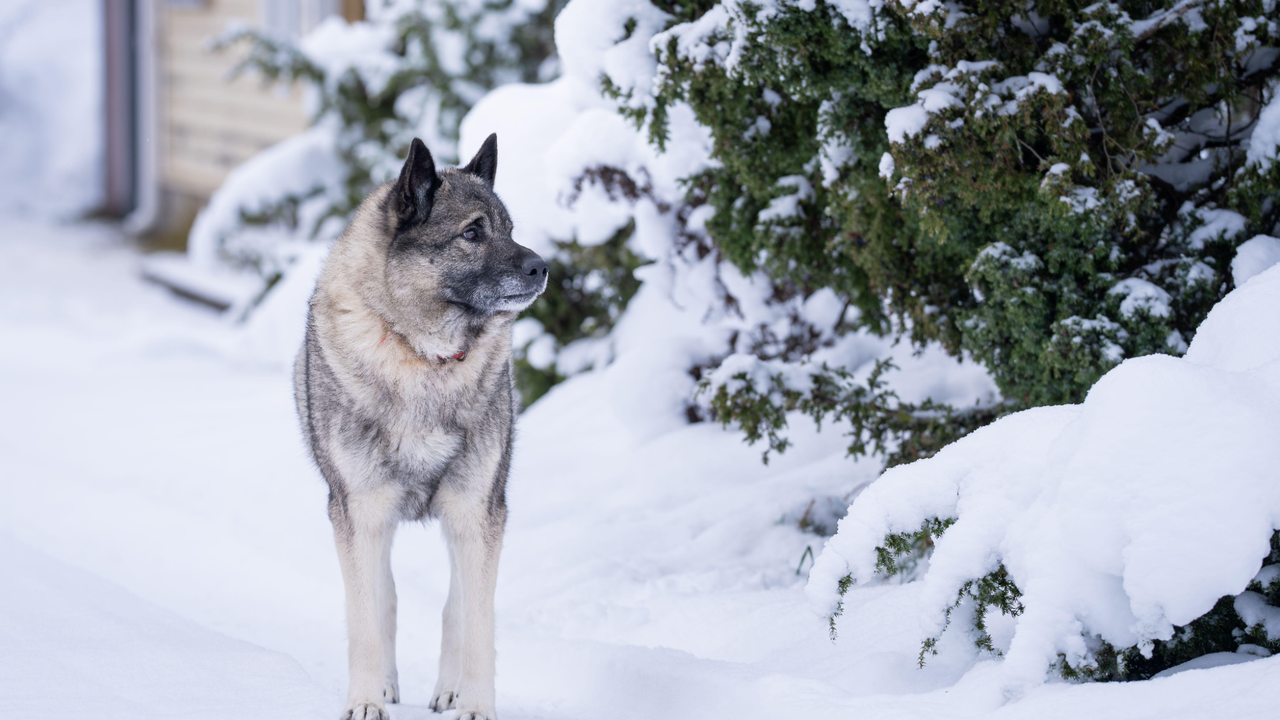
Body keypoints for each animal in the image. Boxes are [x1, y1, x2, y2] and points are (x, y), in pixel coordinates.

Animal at [293, 134, 547, 717]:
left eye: (510, 229)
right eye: (472, 232)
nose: (543, 267)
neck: (422, 357)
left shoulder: (478, 511)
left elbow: (476, 621)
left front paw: (475, 704)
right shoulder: (358, 512)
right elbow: (367, 616)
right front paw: (367, 699)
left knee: (456, 603)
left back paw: (449, 688)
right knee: (383, 597)